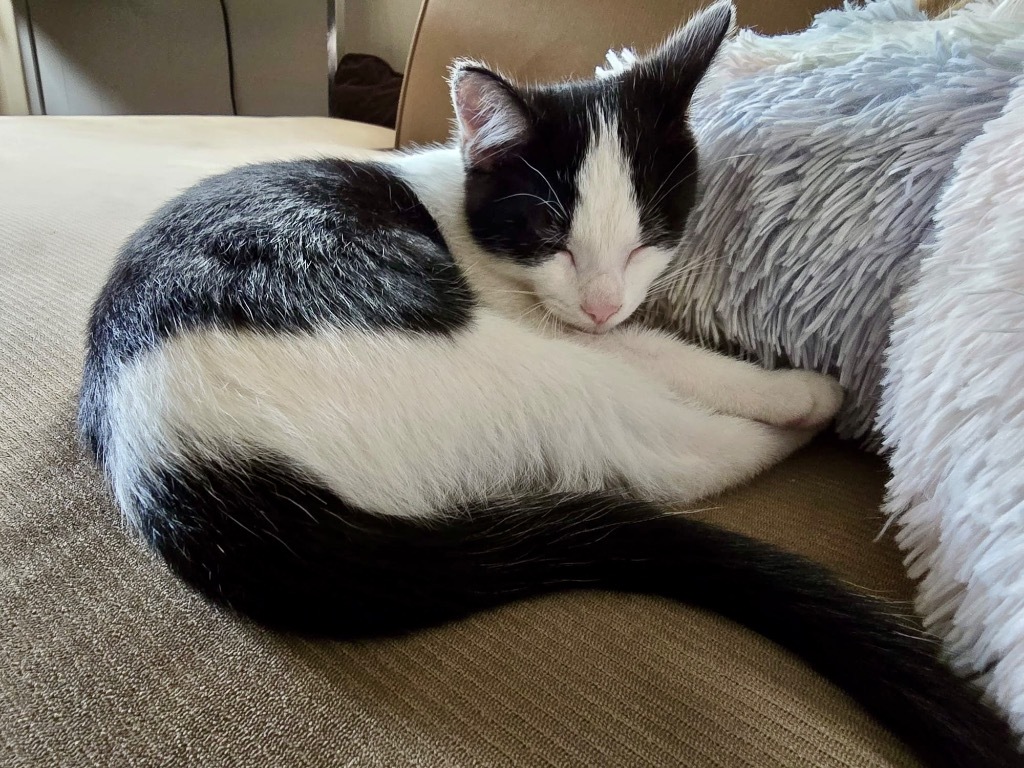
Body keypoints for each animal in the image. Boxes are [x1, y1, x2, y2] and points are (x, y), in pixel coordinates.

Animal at [77, 3, 1015, 765]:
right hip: (476, 356)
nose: (601, 302)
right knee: (663, 455)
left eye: (648, 235)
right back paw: (800, 420)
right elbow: (657, 353)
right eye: (549, 232)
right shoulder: (559, 327)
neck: (465, 219)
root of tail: (178, 460)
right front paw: (791, 386)